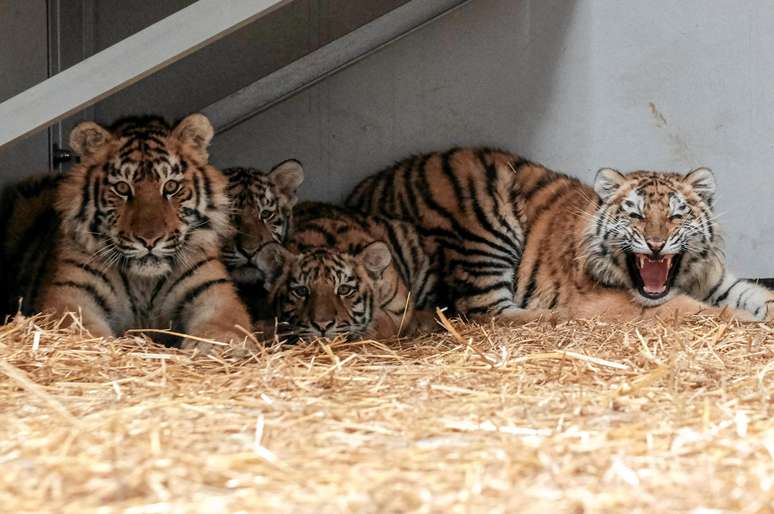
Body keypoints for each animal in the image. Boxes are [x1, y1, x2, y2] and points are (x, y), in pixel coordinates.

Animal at [1, 113, 253, 350]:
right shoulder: (72, 294)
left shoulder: (213, 291)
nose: (150, 240)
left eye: (171, 186)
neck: (144, 284)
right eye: (122, 188)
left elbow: (224, 327)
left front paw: (219, 347)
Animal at [348, 145, 774, 320]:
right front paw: (744, 320)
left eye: (676, 215)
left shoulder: (718, 280)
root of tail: (366, 189)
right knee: (488, 314)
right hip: (485, 231)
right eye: (635, 215)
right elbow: (692, 309)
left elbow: (758, 295)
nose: (655, 245)